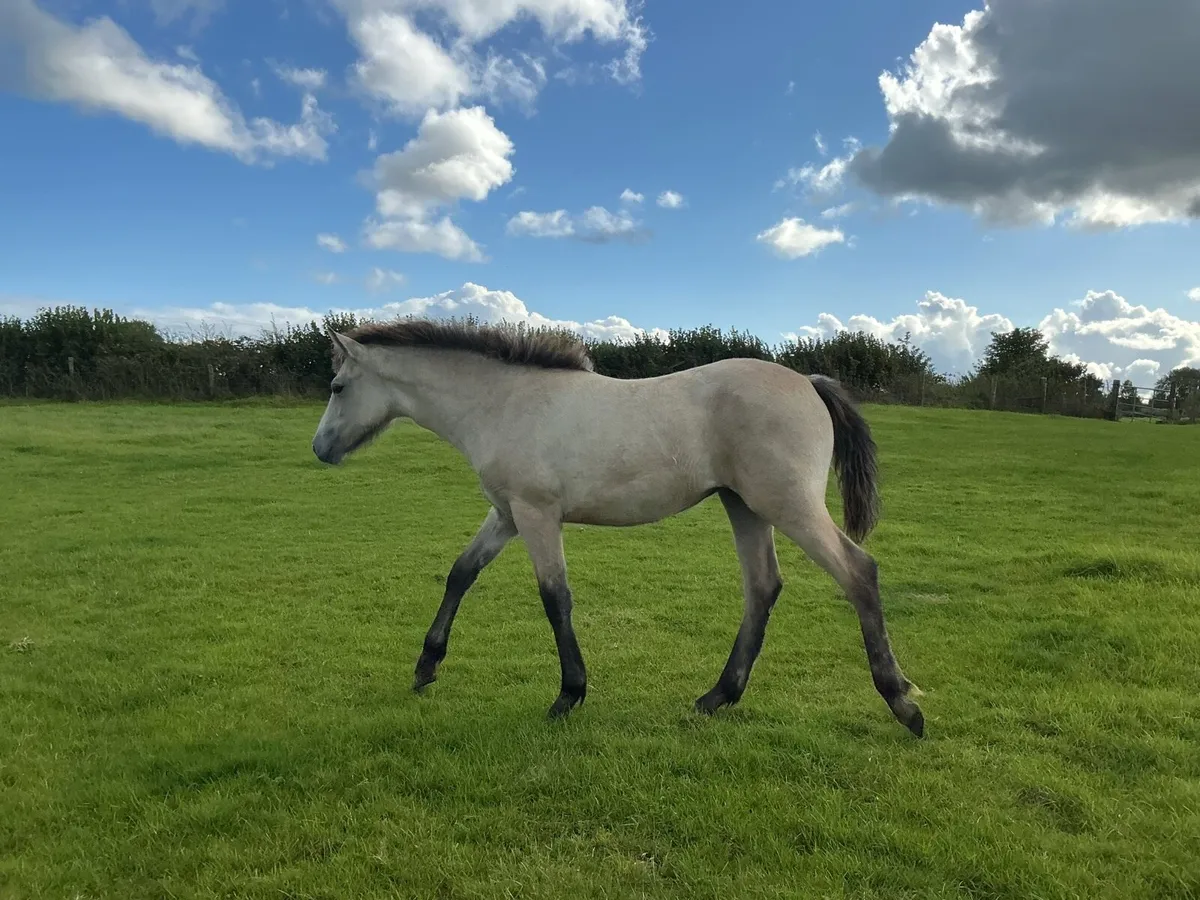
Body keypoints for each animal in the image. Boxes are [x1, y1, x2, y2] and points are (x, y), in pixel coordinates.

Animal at [311, 318, 924, 737]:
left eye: (338, 387)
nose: (319, 449)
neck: (504, 403)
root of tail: (808, 381)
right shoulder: (507, 514)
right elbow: (461, 572)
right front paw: (426, 667)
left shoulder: (536, 514)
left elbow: (554, 597)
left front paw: (569, 695)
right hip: (744, 506)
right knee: (763, 587)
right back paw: (717, 697)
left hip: (787, 504)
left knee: (858, 573)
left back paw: (903, 704)